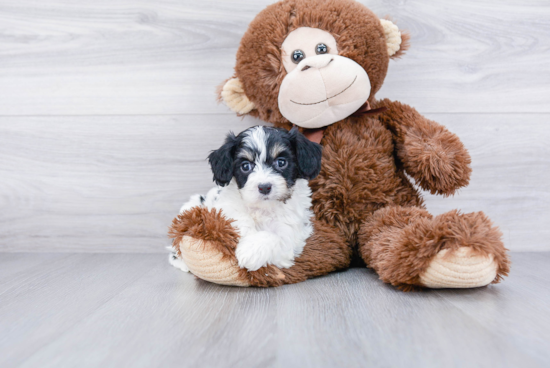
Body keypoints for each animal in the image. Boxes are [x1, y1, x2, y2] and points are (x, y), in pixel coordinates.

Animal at [169, 126, 324, 274]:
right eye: (245, 166)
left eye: (281, 162)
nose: (264, 187)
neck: (263, 208)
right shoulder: (225, 208)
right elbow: (237, 220)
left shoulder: (292, 231)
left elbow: (275, 236)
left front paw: (249, 251)